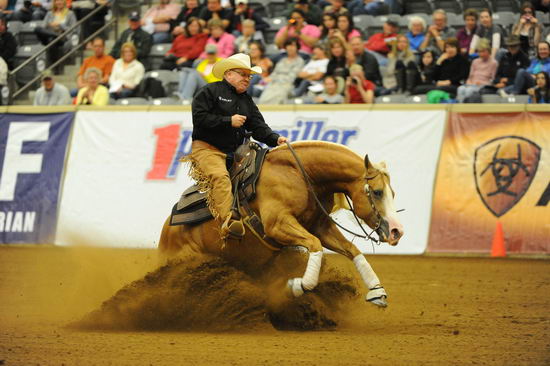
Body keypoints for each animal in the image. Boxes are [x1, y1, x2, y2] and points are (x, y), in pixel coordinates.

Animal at [160, 142, 406, 308]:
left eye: (393, 192)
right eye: (377, 192)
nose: (397, 231)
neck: (299, 175)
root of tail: (167, 232)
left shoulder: (320, 226)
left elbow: (351, 249)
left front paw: (376, 291)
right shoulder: (278, 225)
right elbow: (314, 245)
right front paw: (298, 286)